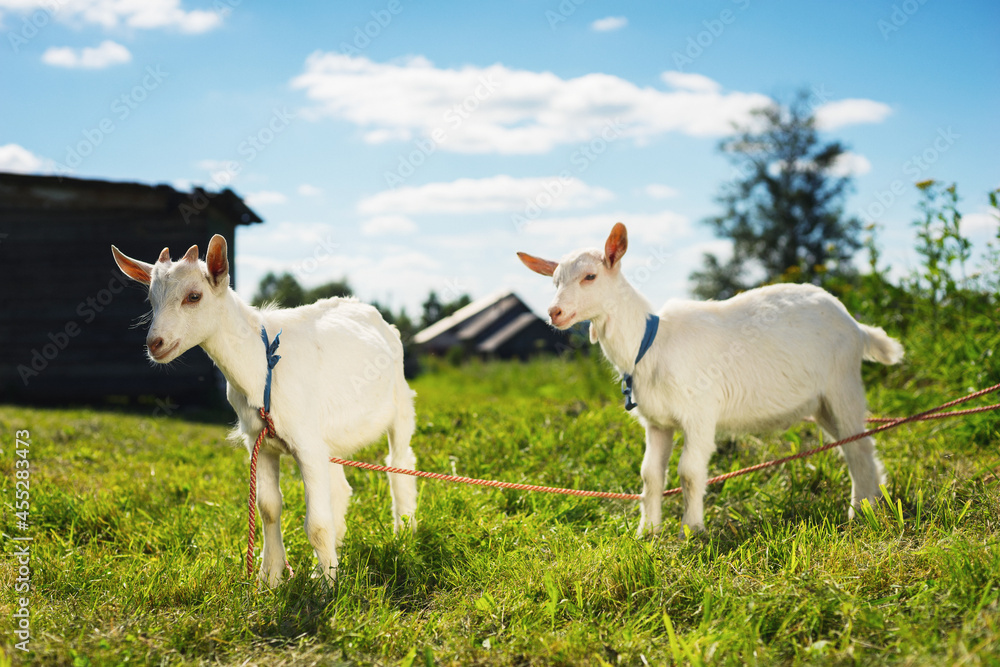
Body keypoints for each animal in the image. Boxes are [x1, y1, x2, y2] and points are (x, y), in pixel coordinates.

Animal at [112, 235, 417, 585]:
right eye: (151, 299)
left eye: (194, 296)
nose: (155, 344)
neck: (262, 367)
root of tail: (373, 314)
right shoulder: (263, 442)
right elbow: (270, 509)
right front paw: (269, 579)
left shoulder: (306, 443)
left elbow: (316, 524)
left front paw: (328, 588)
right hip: (327, 437)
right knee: (340, 488)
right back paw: (326, 563)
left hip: (400, 405)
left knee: (400, 463)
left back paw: (403, 537)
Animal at [518, 222, 903, 536]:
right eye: (554, 281)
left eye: (590, 277)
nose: (555, 312)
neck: (649, 344)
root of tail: (855, 325)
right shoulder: (657, 423)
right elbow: (650, 475)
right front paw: (647, 532)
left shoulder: (700, 413)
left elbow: (689, 472)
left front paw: (692, 531)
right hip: (821, 403)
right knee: (854, 446)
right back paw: (872, 502)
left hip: (843, 384)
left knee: (859, 445)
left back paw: (860, 512)